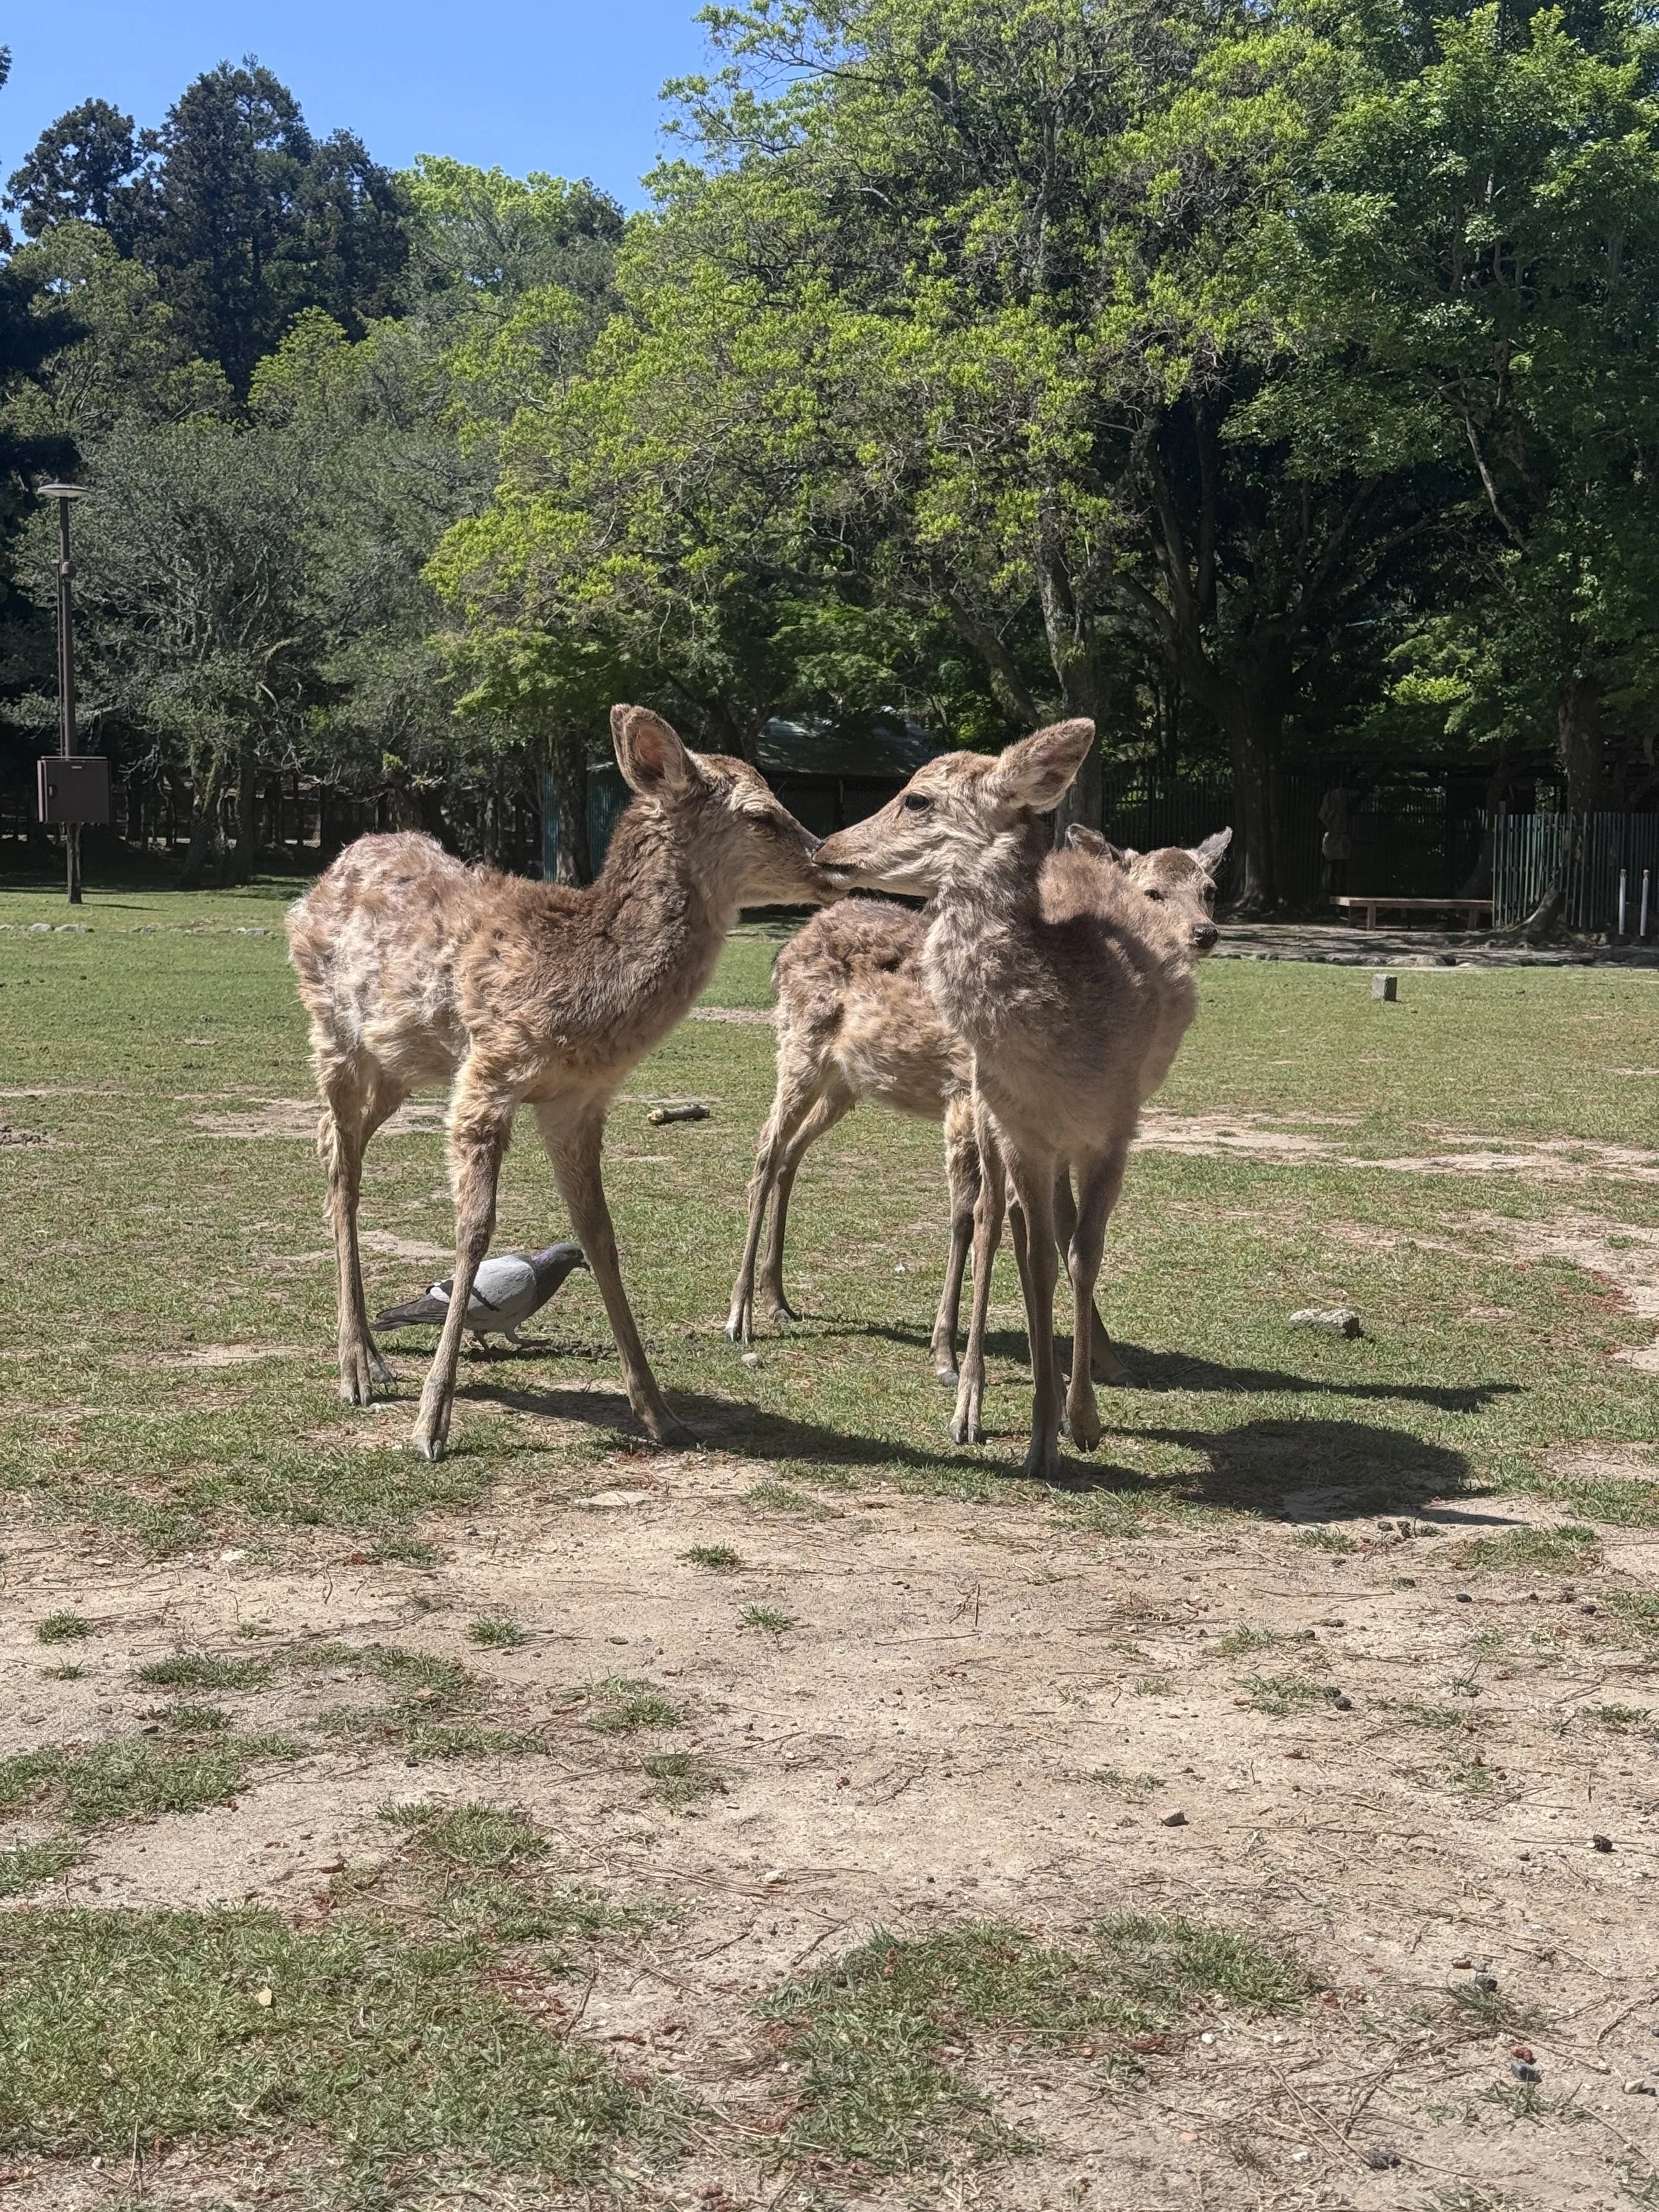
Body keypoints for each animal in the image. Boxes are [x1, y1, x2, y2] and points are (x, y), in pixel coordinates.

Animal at [286, 705, 835, 1462]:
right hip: (332, 1031)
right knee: (339, 1162)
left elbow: (599, 1232)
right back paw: (357, 1370)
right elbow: (474, 1229)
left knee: (335, 1143)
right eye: (762, 815)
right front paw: (430, 1426)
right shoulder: (489, 1072)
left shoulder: (577, 1100)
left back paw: (370, 1352)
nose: (831, 861)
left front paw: (661, 1414)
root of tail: (324, 875)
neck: (578, 992)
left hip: (403, 1059)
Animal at [815, 721, 1230, 1480]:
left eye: (915, 799)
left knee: (1047, 1227)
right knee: (990, 1221)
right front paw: (1041, 1437)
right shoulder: (1019, 1128)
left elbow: (1082, 1254)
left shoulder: (1114, 1127)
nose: (827, 846)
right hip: (982, 1107)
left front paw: (1083, 1419)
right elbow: (1032, 1260)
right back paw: (966, 1396)